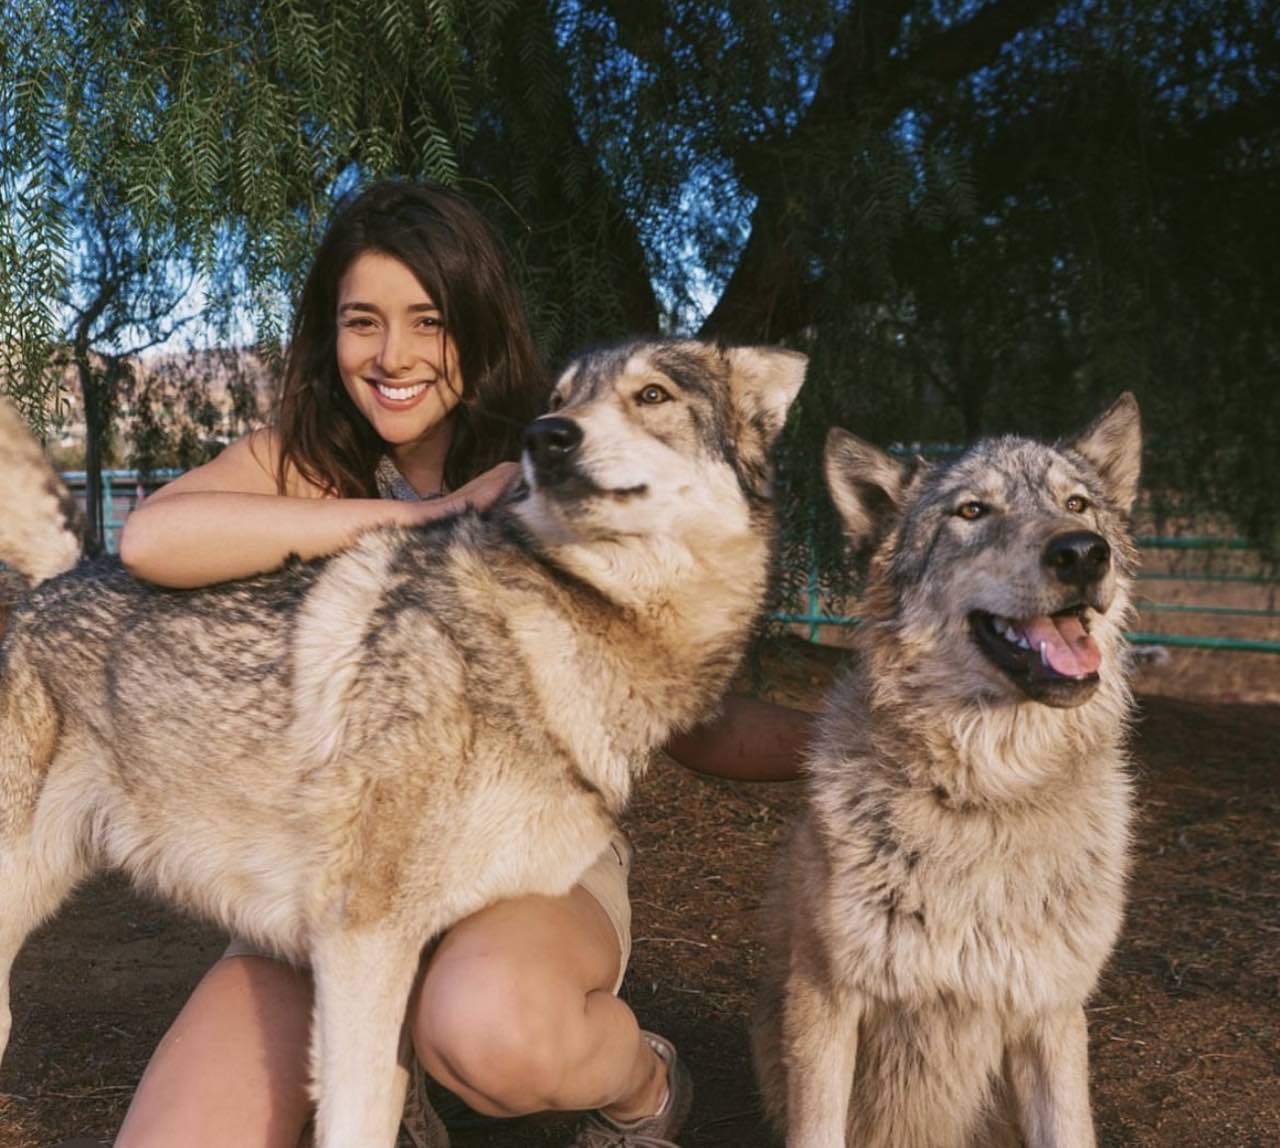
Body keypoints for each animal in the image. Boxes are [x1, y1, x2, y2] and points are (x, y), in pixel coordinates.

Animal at [0, 337, 803, 1146]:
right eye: (560, 398)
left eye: (653, 396)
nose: (545, 437)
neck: (569, 616)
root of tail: (53, 584)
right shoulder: (364, 938)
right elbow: (356, 1115)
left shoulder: (399, 950)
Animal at [747, 396, 1141, 1146]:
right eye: (972, 511)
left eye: (1076, 503)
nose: (1082, 551)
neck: (988, 799)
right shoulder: (826, 997)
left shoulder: (1050, 1015)